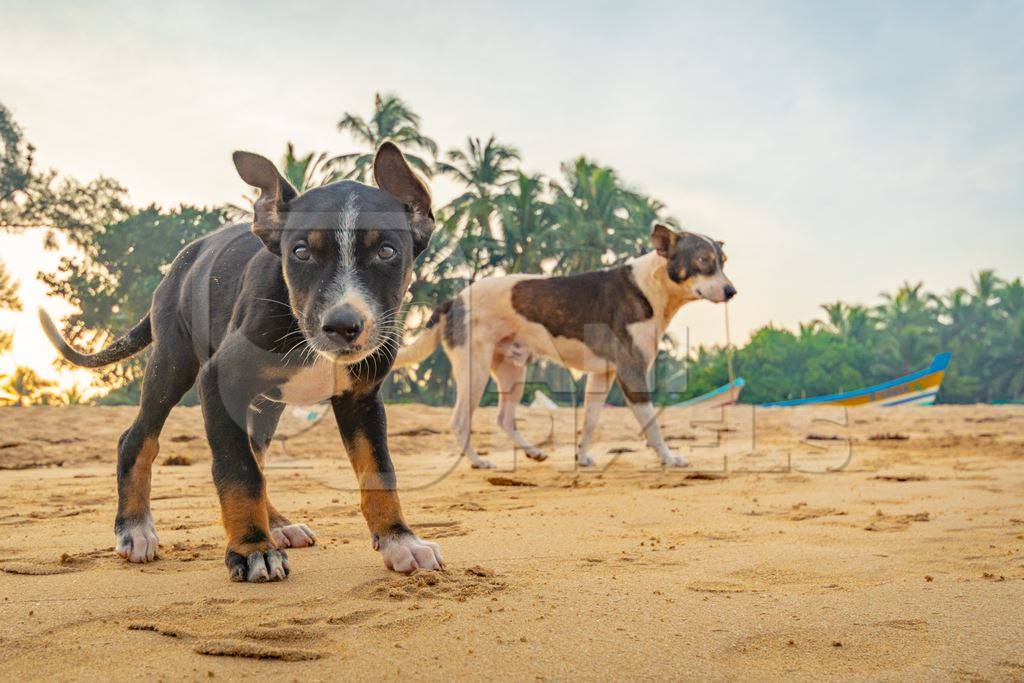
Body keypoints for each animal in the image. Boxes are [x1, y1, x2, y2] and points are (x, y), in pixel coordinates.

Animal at [41, 143, 442, 581]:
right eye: (300, 252)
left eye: (387, 251)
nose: (342, 325)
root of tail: (174, 271)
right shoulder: (218, 382)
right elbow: (239, 472)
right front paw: (252, 549)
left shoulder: (362, 398)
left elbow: (378, 470)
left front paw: (400, 540)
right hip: (172, 364)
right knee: (138, 439)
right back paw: (135, 528)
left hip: (266, 405)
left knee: (257, 453)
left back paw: (279, 525)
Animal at [391, 225, 737, 471]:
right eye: (703, 261)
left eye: (723, 262)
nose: (732, 291)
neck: (649, 286)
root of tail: (455, 299)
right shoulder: (632, 373)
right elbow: (651, 424)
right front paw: (668, 458)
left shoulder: (603, 375)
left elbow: (590, 420)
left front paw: (581, 458)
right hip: (474, 369)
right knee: (461, 421)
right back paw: (478, 461)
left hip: (512, 370)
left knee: (504, 418)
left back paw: (532, 451)